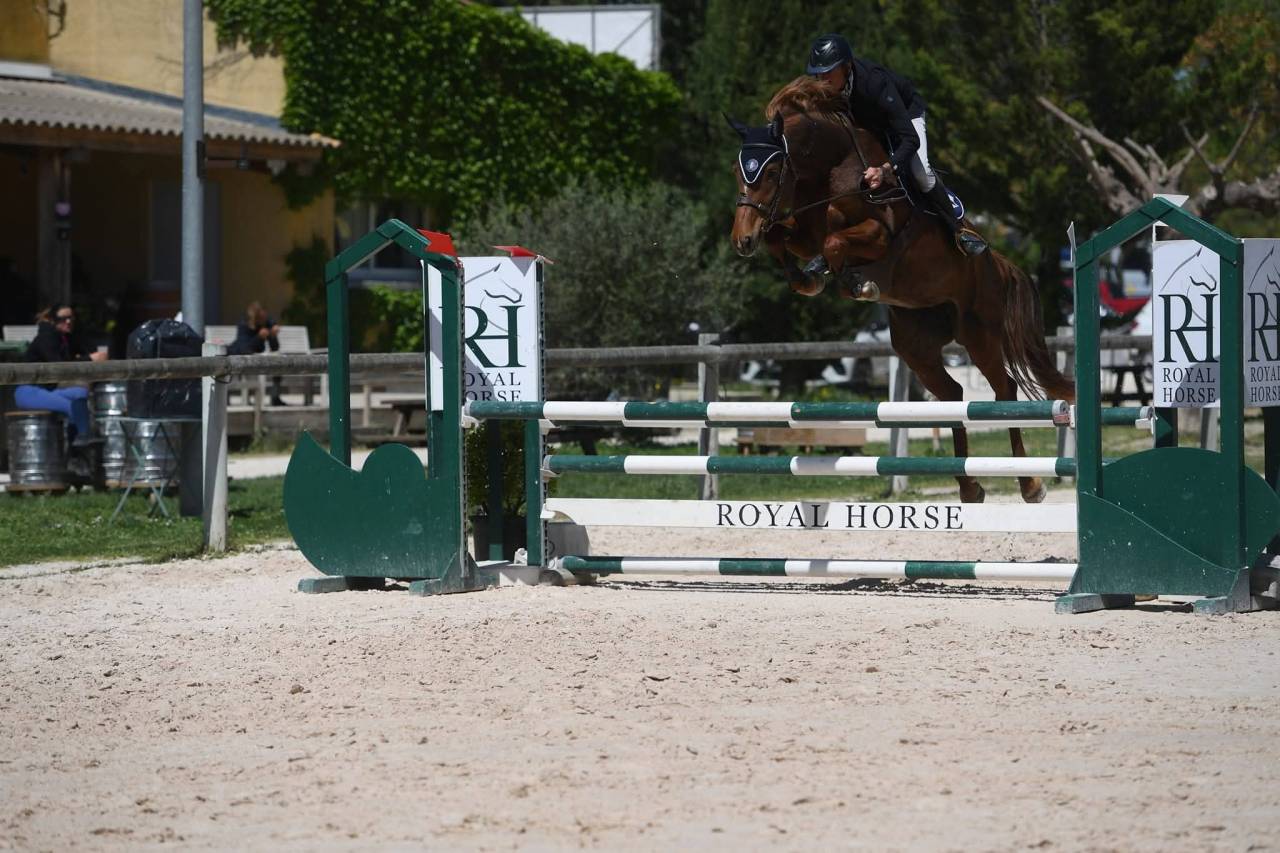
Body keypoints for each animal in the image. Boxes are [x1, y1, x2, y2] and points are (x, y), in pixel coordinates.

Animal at [727, 77, 1074, 504]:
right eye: (738, 170)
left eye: (773, 170)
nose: (742, 240)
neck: (830, 171)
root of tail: (997, 263)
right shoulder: (802, 232)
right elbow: (783, 240)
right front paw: (810, 278)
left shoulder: (878, 234)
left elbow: (835, 244)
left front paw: (853, 281)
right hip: (916, 345)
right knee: (952, 395)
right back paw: (970, 487)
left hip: (979, 334)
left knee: (1004, 389)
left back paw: (1030, 484)